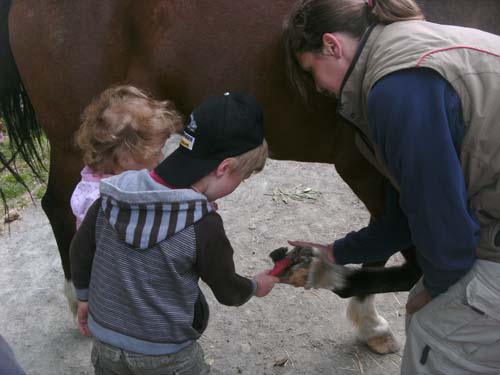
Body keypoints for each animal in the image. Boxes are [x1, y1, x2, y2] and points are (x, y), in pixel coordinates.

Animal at [3, 0, 500, 356]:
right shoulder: (371, 168)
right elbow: (411, 259)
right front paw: (343, 290)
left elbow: (386, 242)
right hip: (74, 137)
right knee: (59, 204)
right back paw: (79, 303)